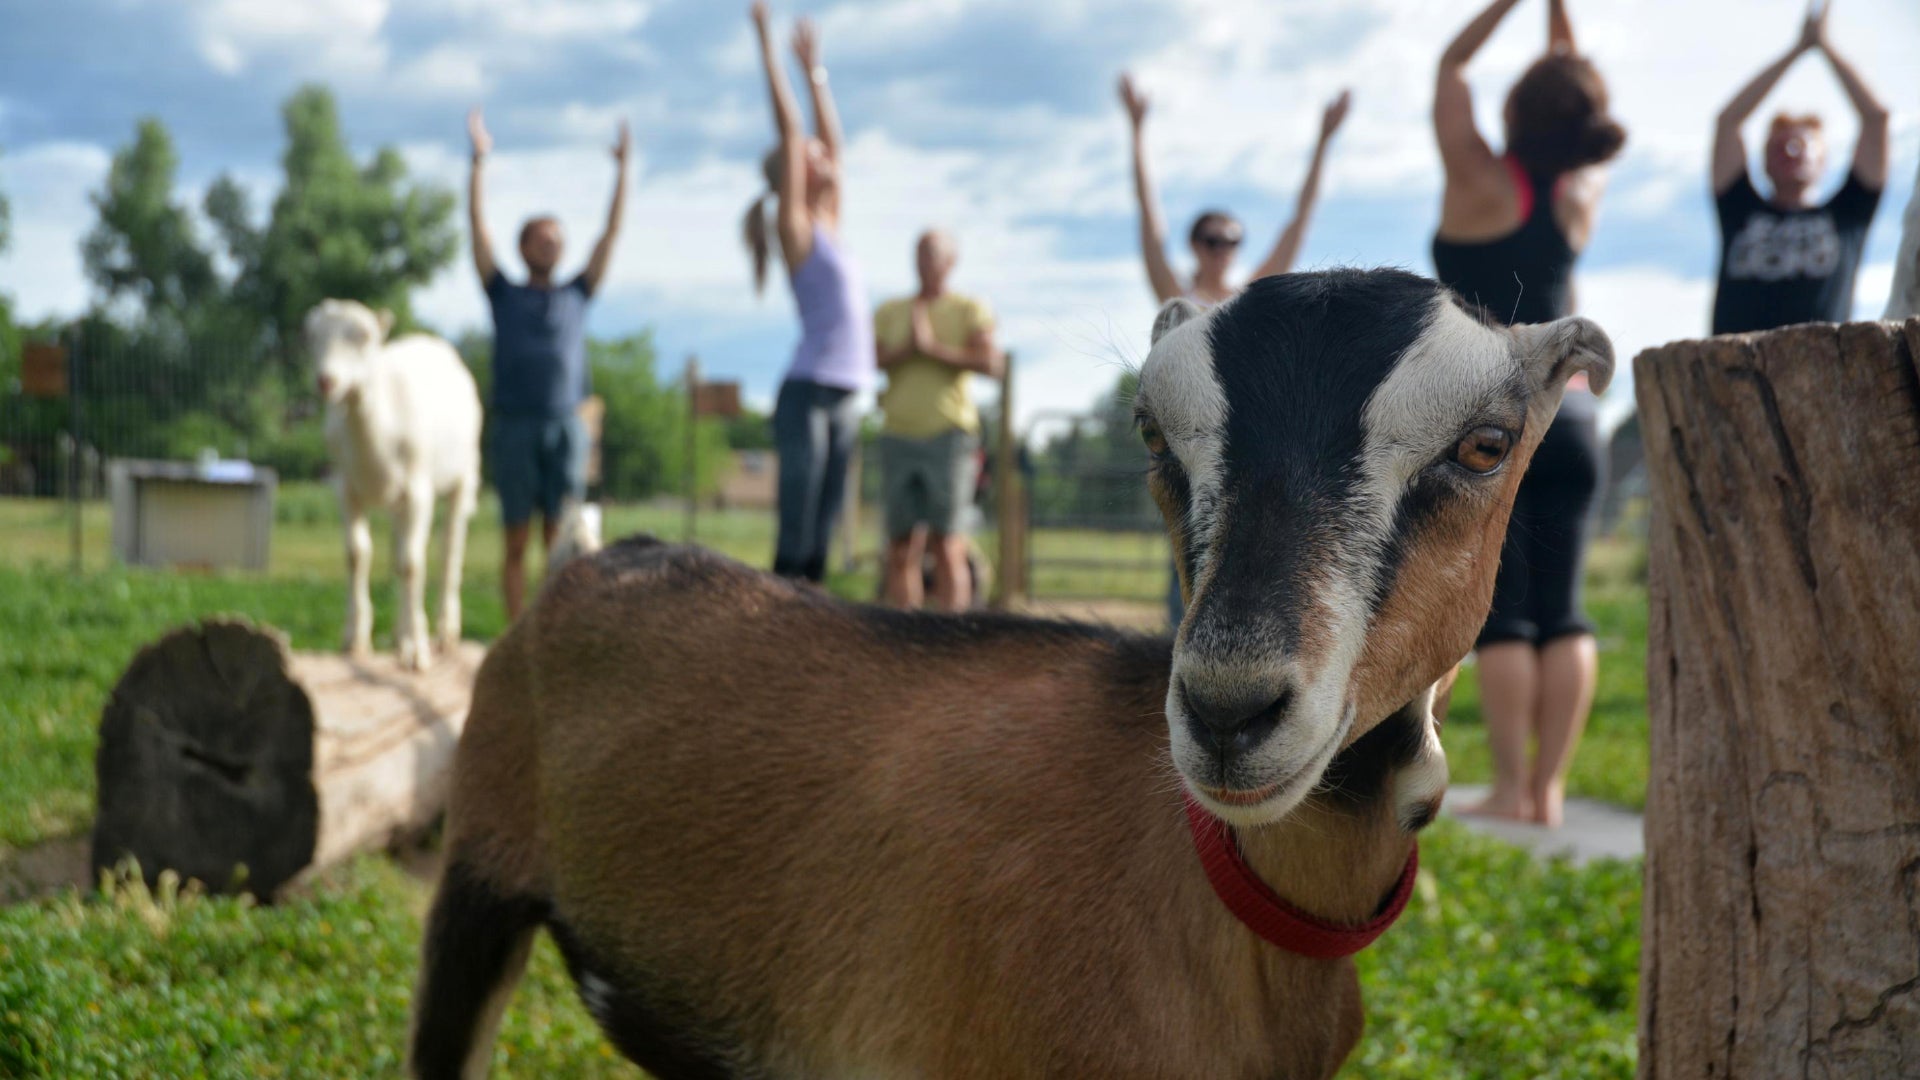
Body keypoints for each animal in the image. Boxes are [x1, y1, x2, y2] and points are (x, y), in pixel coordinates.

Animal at [307, 299, 482, 671]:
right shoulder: (345, 488)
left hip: (463, 476)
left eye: (364, 336)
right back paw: (402, 634)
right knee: (399, 549)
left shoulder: (419, 491)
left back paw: (443, 631)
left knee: (448, 549)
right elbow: (357, 555)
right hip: (396, 504)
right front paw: (355, 639)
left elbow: (412, 564)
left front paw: (417, 650)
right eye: (311, 338)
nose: (326, 380)